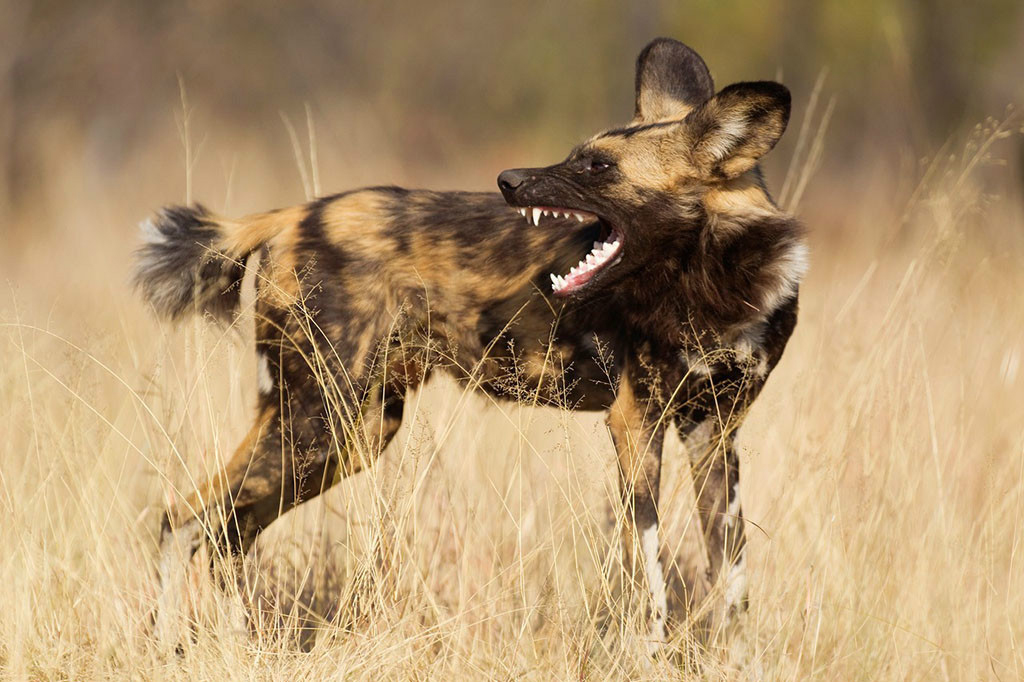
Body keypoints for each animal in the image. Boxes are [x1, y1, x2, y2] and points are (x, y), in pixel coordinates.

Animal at [138, 39, 806, 647]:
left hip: (352, 435)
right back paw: (171, 646)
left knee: (226, 533)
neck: (714, 284)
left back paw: (236, 645)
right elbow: (652, 584)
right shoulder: (636, 422)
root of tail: (293, 214)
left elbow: (733, 588)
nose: (509, 179)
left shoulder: (713, 433)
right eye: (578, 156)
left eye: (599, 168)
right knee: (183, 520)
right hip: (317, 423)